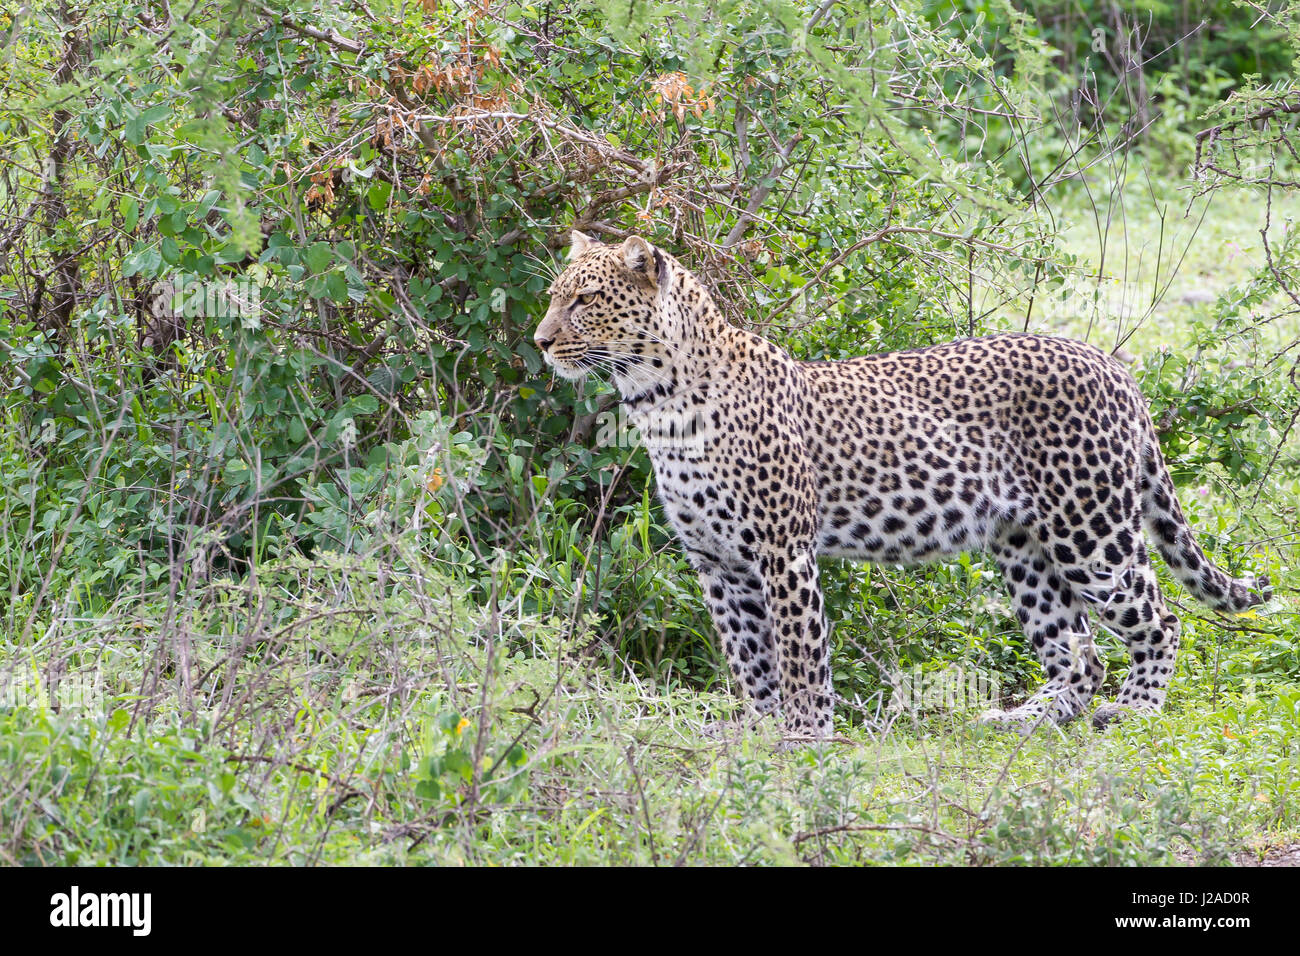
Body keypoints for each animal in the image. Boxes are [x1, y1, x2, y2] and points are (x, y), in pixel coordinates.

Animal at [532, 230, 1271, 740]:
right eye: (552, 297)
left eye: (586, 300)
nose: (539, 340)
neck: (657, 403)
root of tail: (1115, 367)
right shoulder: (717, 562)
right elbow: (749, 657)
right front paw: (758, 726)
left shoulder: (782, 551)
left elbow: (798, 651)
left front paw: (805, 733)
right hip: (1023, 548)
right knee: (1079, 653)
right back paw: (1025, 720)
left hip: (1090, 530)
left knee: (1162, 621)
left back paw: (1135, 711)